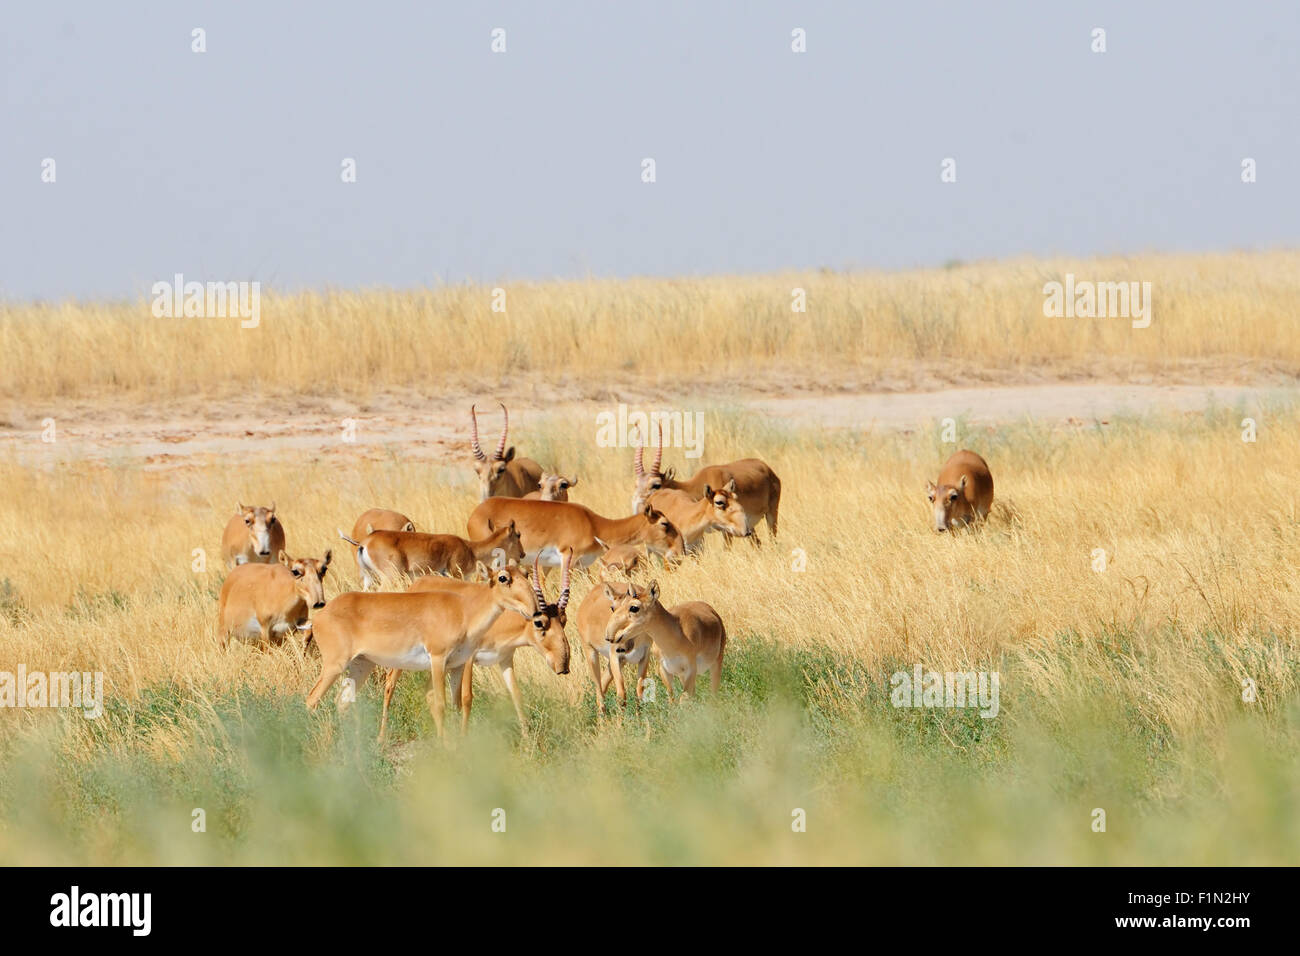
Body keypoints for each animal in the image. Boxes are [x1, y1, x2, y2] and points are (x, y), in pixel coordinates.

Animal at [305, 561, 538, 738]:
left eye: (525, 573)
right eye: (503, 578)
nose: (534, 611)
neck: (464, 611)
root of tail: (319, 616)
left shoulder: (458, 665)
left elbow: (457, 704)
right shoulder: (438, 659)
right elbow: (440, 704)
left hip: (361, 666)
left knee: (341, 702)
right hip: (335, 666)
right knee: (312, 699)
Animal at [338, 520, 525, 587]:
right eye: (518, 534)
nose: (522, 554)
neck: (470, 548)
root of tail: (364, 543)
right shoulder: (456, 575)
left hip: (369, 578)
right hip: (390, 578)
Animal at [470, 494, 691, 567]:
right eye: (664, 523)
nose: (681, 550)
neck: (593, 524)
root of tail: (476, 513)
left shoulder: (583, 566)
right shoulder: (568, 558)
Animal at [631, 426, 780, 546]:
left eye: (656, 485)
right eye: (636, 484)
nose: (637, 507)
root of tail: (766, 468)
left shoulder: (726, 531)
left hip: (771, 515)